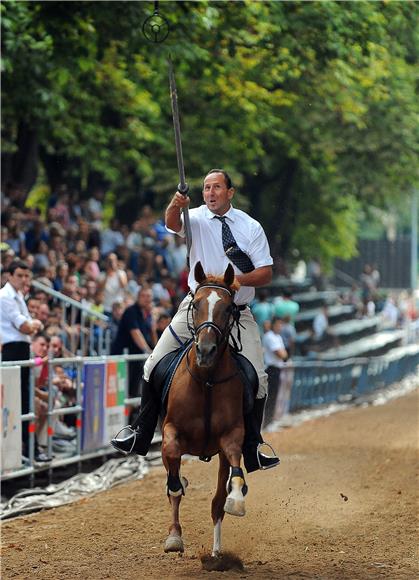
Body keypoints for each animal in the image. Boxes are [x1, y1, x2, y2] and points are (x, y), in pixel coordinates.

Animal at [163, 260, 249, 556]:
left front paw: (236, 500)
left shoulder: (232, 436)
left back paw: (216, 548)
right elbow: (174, 483)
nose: (206, 351)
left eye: (228, 308)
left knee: (217, 500)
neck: (207, 379)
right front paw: (174, 538)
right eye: (196, 303)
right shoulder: (170, 432)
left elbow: (228, 488)